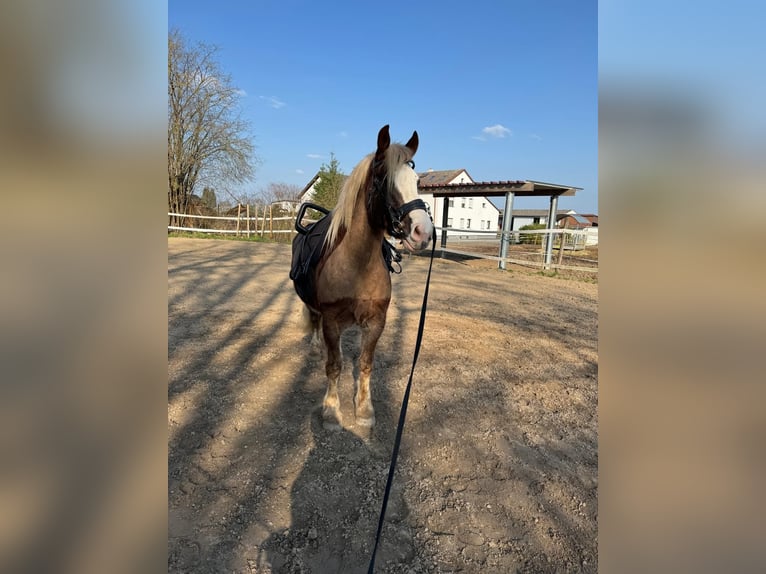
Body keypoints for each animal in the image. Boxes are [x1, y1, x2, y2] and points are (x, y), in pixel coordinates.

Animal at [292, 126, 436, 432]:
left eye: (417, 181)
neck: (358, 264)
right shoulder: (332, 322)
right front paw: (331, 411)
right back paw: (315, 347)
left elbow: (365, 364)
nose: (423, 232)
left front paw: (364, 410)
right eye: (383, 180)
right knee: (314, 321)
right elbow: (335, 365)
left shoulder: (376, 322)